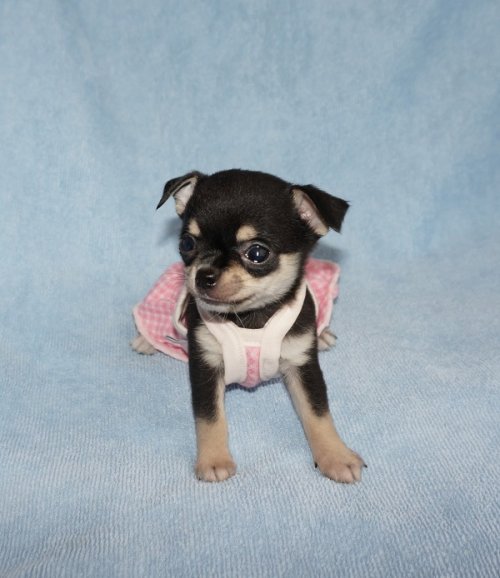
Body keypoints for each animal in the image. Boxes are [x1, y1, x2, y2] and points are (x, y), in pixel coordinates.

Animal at [132, 169, 365, 483]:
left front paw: (336, 455)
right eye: (187, 244)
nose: (203, 275)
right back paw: (145, 340)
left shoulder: (303, 365)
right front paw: (214, 459)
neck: (250, 318)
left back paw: (325, 334)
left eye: (257, 253)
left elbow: (318, 412)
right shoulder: (205, 364)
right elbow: (209, 416)